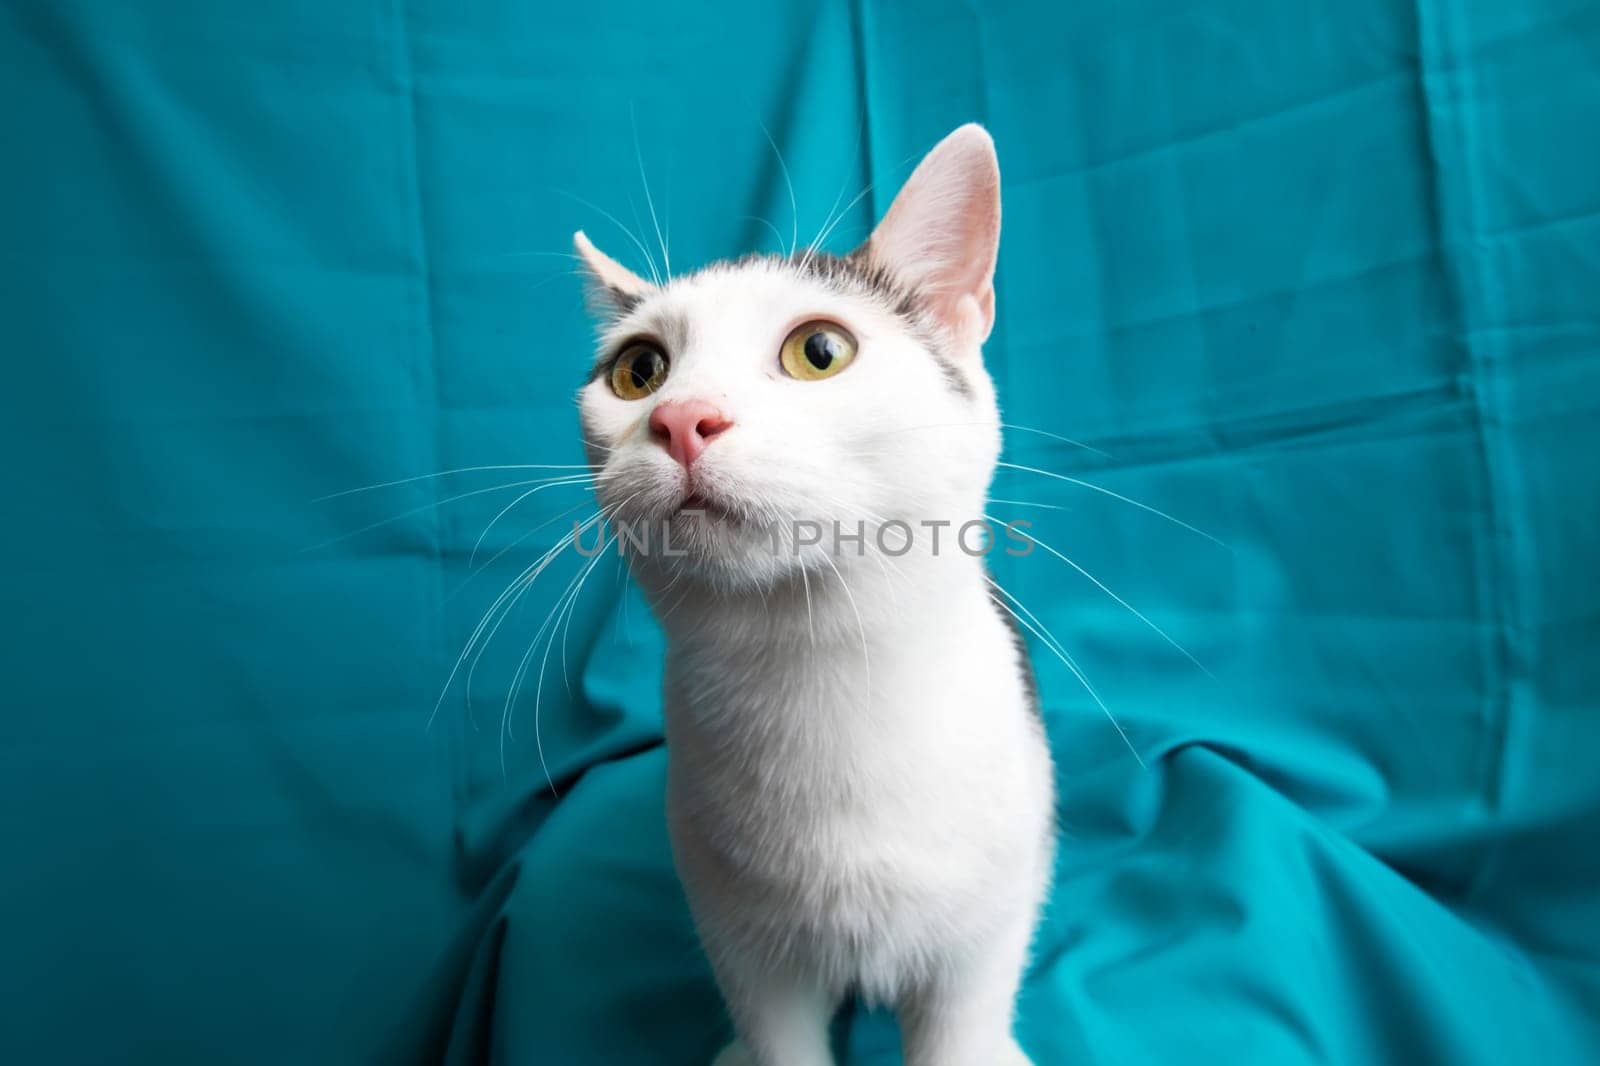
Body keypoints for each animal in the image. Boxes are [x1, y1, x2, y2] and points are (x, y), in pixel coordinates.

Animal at [572, 126, 1049, 1062]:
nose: (681, 417)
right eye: (639, 370)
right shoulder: (738, 940)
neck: (813, 660)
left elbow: (961, 1024)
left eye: (819, 351)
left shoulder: (986, 927)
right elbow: (777, 1034)